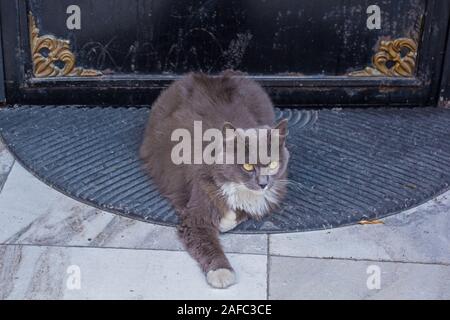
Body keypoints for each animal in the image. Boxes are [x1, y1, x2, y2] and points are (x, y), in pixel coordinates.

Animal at [139, 71, 290, 288]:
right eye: (247, 166)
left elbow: (245, 210)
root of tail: (212, 76)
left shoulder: (270, 196)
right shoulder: (196, 214)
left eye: (272, 164)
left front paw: (227, 220)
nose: (263, 183)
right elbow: (207, 243)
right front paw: (221, 272)